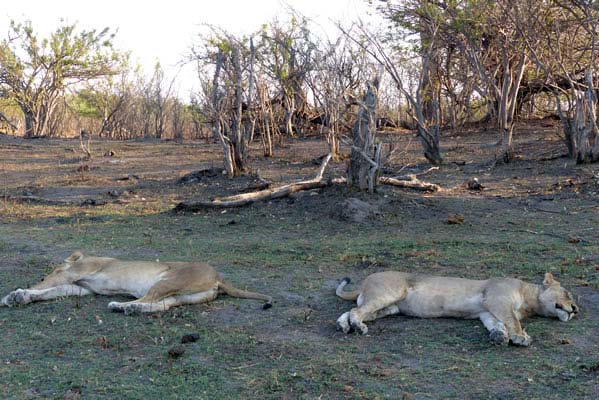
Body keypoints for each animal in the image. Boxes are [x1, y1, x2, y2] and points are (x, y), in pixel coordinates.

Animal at [336, 270, 580, 346]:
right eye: (568, 294)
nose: (576, 309)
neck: (530, 300)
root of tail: (365, 281)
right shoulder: (497, 299)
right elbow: (513, 321)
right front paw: (521, 337)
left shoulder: (486, 311)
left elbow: (497, 324)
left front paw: (499, 336)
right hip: (390, 293)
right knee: (356, 312)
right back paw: (357, 327)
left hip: (388, 307)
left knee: (351, 311)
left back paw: (345, 326)